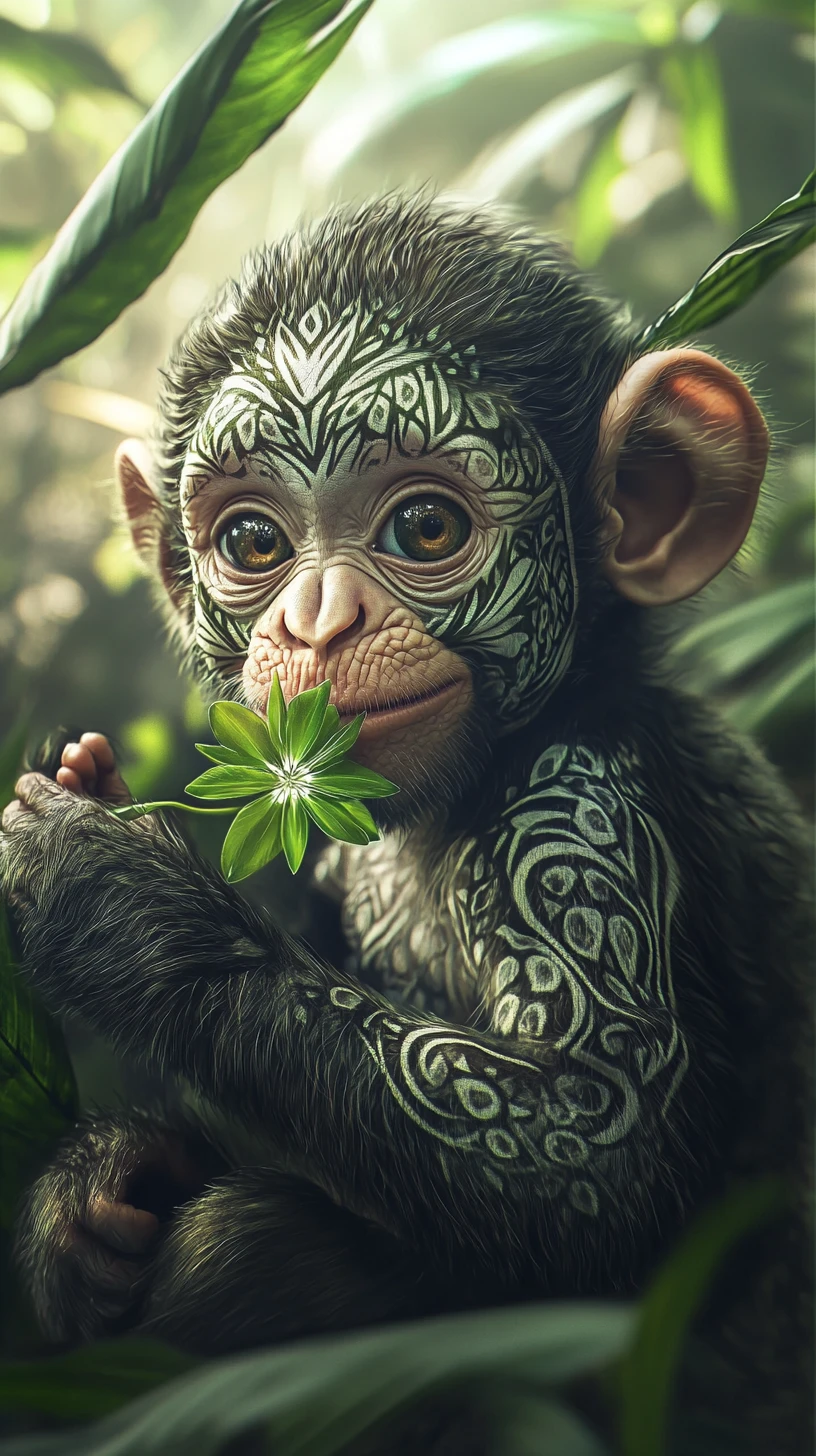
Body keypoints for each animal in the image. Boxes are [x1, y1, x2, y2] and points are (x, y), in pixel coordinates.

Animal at [0, 193, 811, 1453]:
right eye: (252, 542)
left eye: (424, 528)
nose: (319, 622)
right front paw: (100, 1187)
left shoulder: (583, 816)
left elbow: (585, 1146)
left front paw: (110, 896)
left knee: (245, 1247)